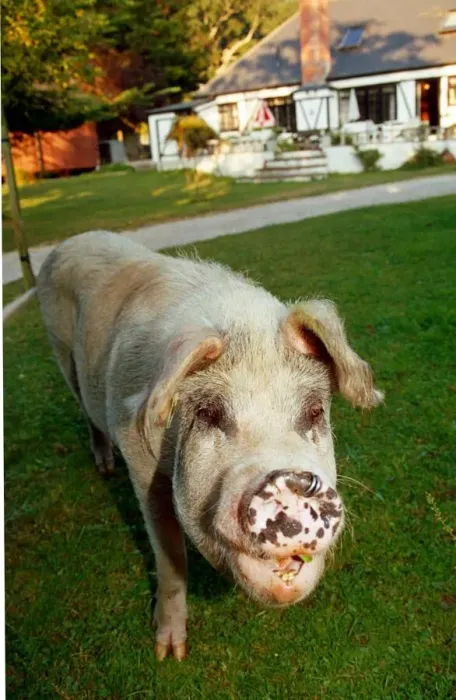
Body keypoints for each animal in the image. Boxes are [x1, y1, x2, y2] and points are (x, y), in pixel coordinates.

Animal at [36, 230, 383, 661]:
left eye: (315, 411)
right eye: (209, 413)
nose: (291, 482)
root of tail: (69, 242)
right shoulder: (138, 457)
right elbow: (169, 554)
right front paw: (169, 654)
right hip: (62, 353)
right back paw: (104, 468)